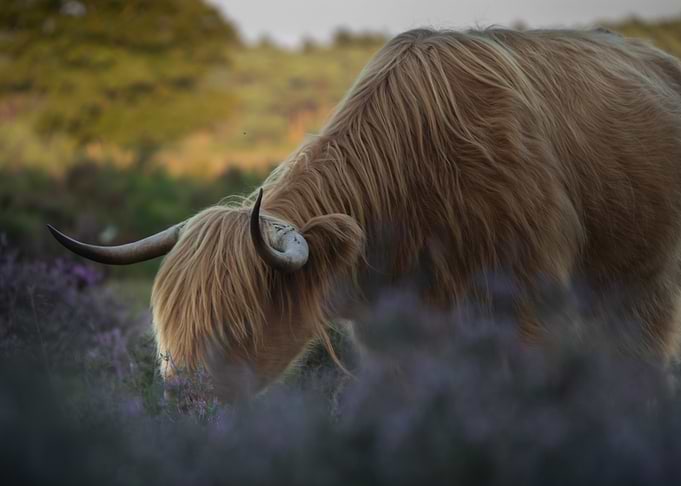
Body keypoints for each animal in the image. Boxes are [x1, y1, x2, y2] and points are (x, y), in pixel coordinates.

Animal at [49, 27, 681, 400]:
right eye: (166, 332)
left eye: (235, 328)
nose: (186, 403)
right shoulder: (388, 333)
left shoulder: (529, 301)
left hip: (642, 280)